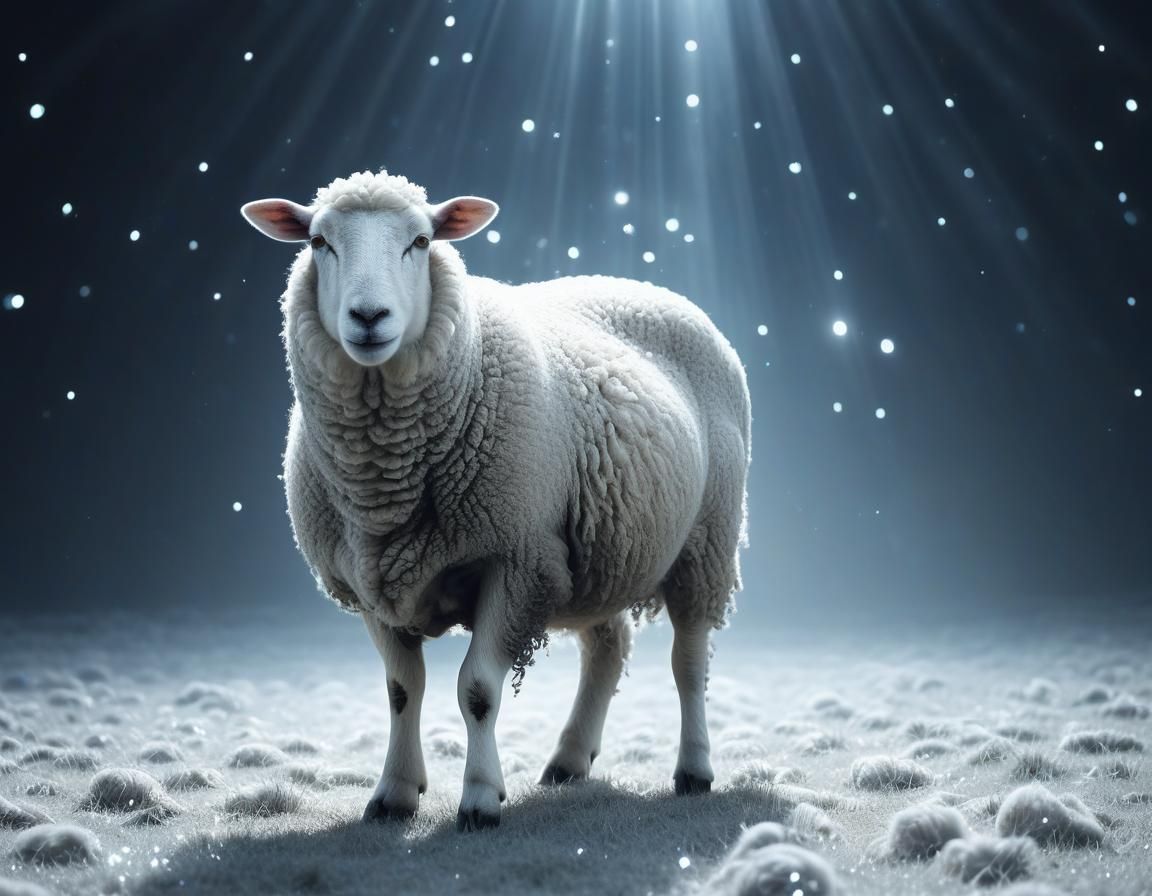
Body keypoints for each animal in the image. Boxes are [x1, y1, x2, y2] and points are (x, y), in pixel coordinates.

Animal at [241, 169, 751, 831]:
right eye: (319, 242)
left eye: (421, 241)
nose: (369, 316)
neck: (386, 481)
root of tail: (650, 286)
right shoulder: (371, 578)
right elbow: (402, 691)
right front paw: (394, 794)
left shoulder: (516, 560)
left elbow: (477, 690)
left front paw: (480, 798)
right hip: (600, 548)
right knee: (608, 650)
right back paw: (569, 761)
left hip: (706, 538)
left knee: (689, 662)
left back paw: (694, 770)